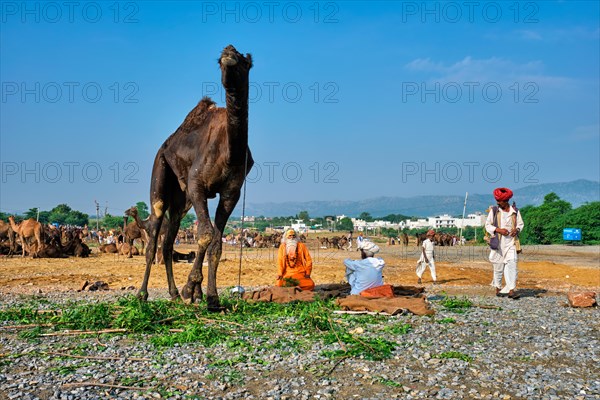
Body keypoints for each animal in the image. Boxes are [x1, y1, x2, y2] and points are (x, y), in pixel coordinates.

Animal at [138, 45, 253, 310]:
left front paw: (210, 297)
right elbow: (206, 234)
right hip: (160, 170)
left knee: (168, 241)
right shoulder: (196, 184)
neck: (231, 153)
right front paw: (191, 288)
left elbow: (216, 243)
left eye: (243, 59)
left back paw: (173, 293)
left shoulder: (232, 193)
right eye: (220, 60)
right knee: (154, 232)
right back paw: (142, 294)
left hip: (181, 200)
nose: (228, 51)